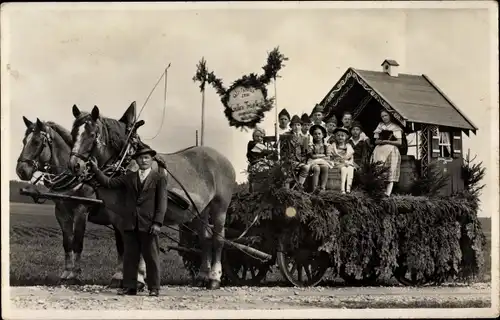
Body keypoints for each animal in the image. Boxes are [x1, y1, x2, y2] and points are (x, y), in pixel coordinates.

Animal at [14, 116, 146, 286]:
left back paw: (138, 277)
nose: (21, 170)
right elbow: (67, 242)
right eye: (24, 141)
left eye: (36, 142)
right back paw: (120, 276)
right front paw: (66, 273)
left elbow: (78, 242)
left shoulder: (82, 211)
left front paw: (75, 274)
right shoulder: (61, 212)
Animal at [68, 104, 236, 288]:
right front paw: (126, 277)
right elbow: (124, 244)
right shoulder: (117, 215)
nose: (74, 165)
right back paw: (202, 277)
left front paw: (139, 278)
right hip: (202, 211)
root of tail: (223, 158)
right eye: (73, 133)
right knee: (205, 239)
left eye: (92, 135)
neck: (125, 162)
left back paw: (214, 278)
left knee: (218, 239)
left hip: (220, 206)